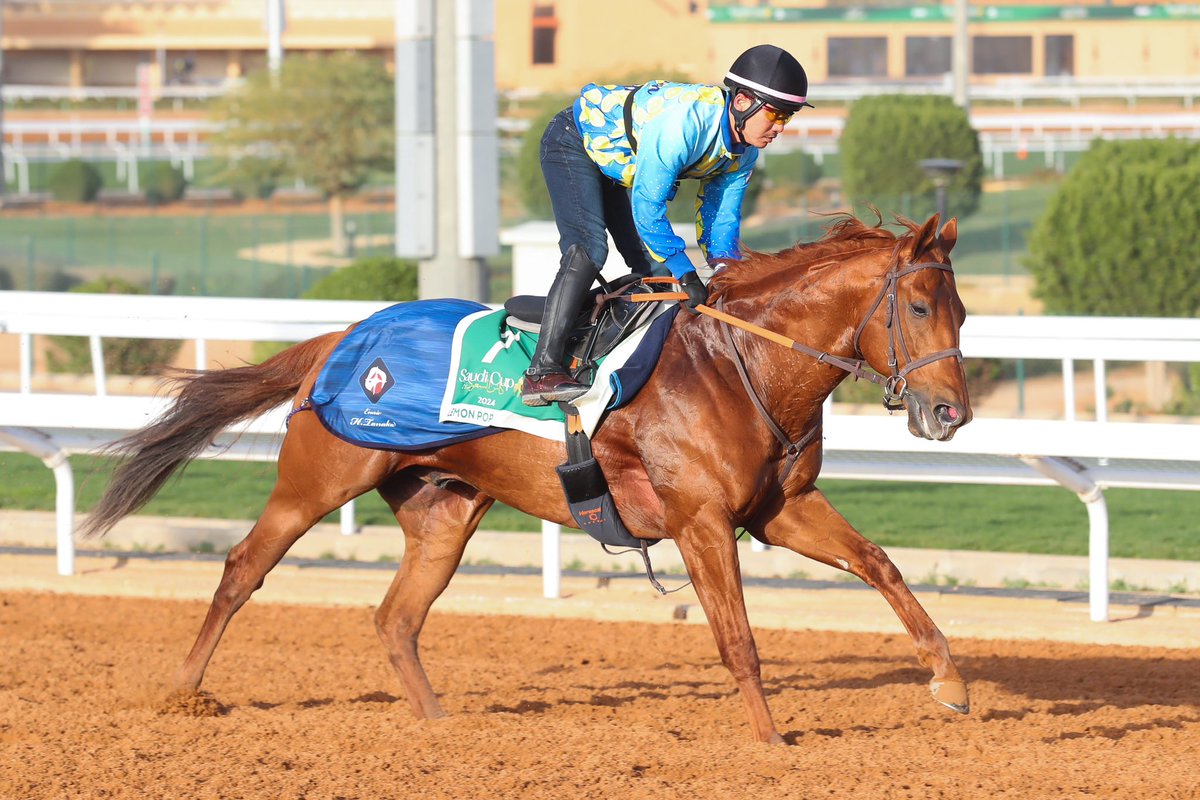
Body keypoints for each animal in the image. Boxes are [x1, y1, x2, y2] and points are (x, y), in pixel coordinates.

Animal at [83, 212, 972, 744]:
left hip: (444, 512)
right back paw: (182, 694)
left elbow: (880, 565)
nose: (950, 414)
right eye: (919, 309)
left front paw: (951, 681)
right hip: (315, 483)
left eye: (961, 312)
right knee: (243, 570)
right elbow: (738, 638)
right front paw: (771, 740)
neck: (739, 362)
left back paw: (442, 726)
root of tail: (341, 335)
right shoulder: (700, 522)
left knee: (397, 618)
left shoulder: (780, 509)